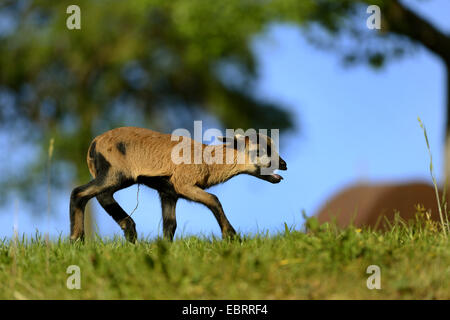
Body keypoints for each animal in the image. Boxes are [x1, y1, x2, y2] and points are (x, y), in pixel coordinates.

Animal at [70, 126, 288, 241]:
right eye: (261, 150)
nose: (284, 164)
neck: (209, 162)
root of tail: (93, 145)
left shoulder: (169, 193)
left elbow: (170, 225)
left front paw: (165, 248)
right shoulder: (184, 185)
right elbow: (213, 199)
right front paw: (232, 236)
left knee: (99, 195)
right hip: (115, 174)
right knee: (81, 193)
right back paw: (78, 240)